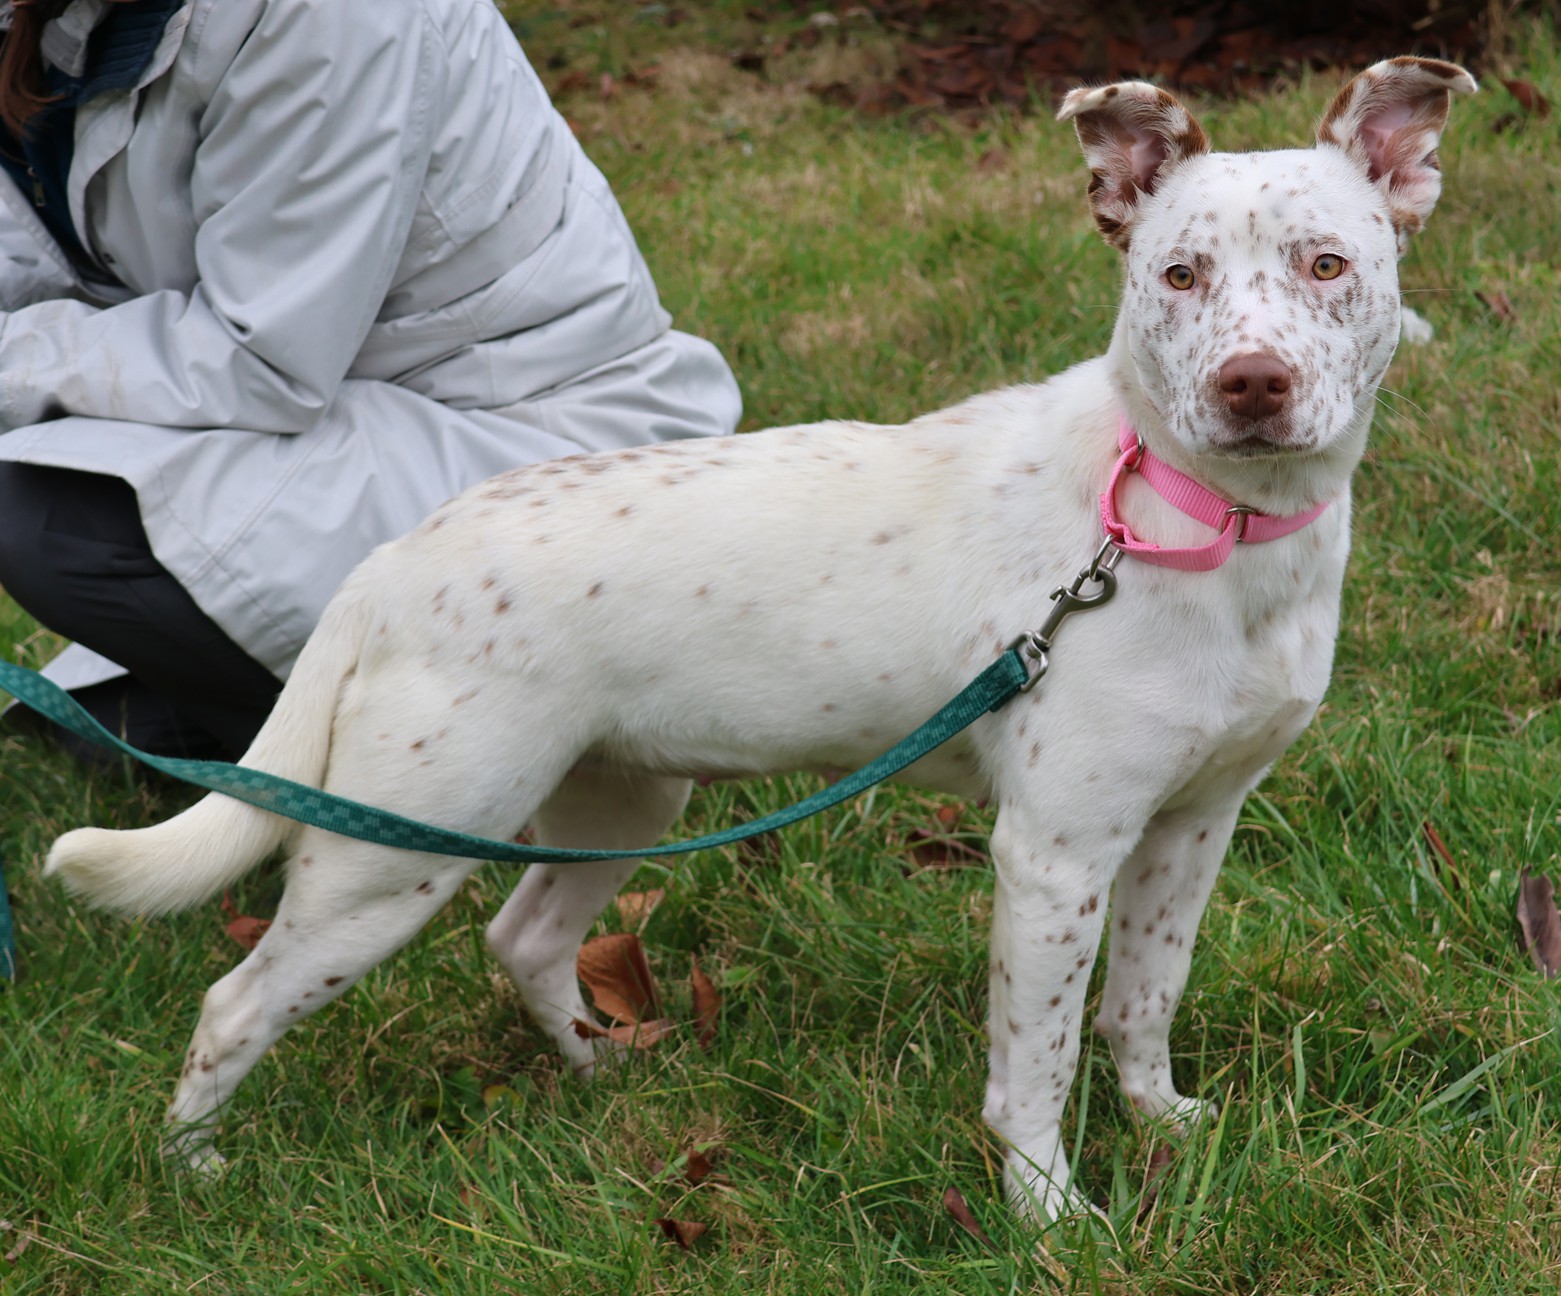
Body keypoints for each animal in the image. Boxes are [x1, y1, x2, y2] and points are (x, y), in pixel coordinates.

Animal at [46, 57, 1473, 1220]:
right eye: (1178, 277)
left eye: (1327, 266)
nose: (1251, 387)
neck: (1199, 525)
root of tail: (393, 559)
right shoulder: (1054, 856)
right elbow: (1035, 1063)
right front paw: (1049, 1215)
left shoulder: (1189, 825)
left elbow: (1142, 1002)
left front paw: (1162, 1124)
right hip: (392, 853)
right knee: (236, 1002)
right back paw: (191, 1173)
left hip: (617, 799)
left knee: (523, 939)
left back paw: (599, 1072)